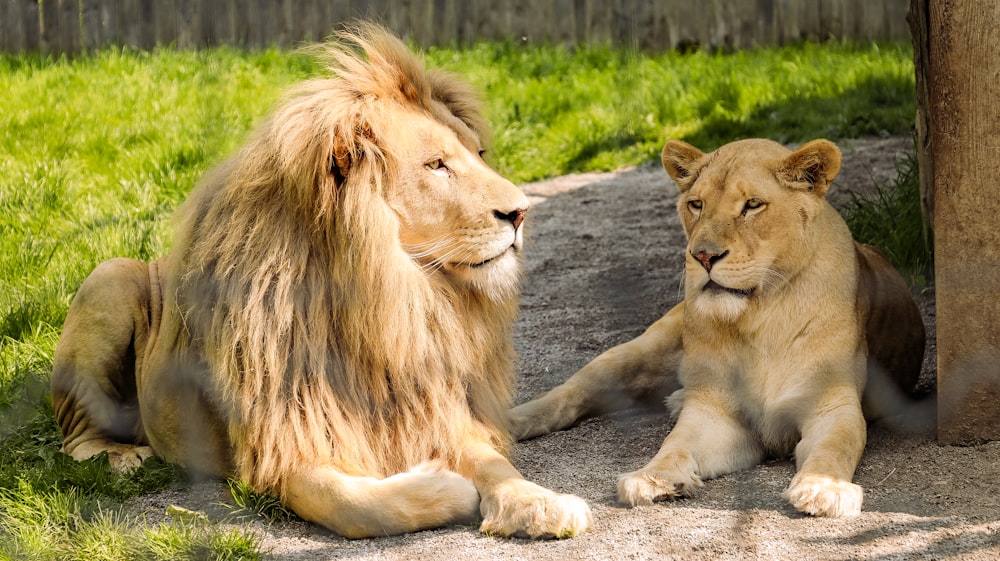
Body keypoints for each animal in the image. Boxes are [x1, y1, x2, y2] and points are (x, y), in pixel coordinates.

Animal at [50, 23, 588, 540]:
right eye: (436, 165)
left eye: (480, 153)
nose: (521, 212)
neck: (392, 301)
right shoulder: (281, 446)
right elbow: (356, 505)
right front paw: (445, 486)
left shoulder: (433, 410)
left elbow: (493, 463)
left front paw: (539, 503)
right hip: (110, 278)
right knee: (74, 439)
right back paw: (122, 458)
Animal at [512, 137, 924, 516]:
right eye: (697, 204)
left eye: (752, 205)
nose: (704, 256)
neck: (761, 315)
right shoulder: (714, 413)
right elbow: (675, 444)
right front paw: (653, 478)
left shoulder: (832, 405)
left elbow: (835, 447)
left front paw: (824, 489)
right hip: (642, 352)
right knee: (573, 391)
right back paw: (512, 422)